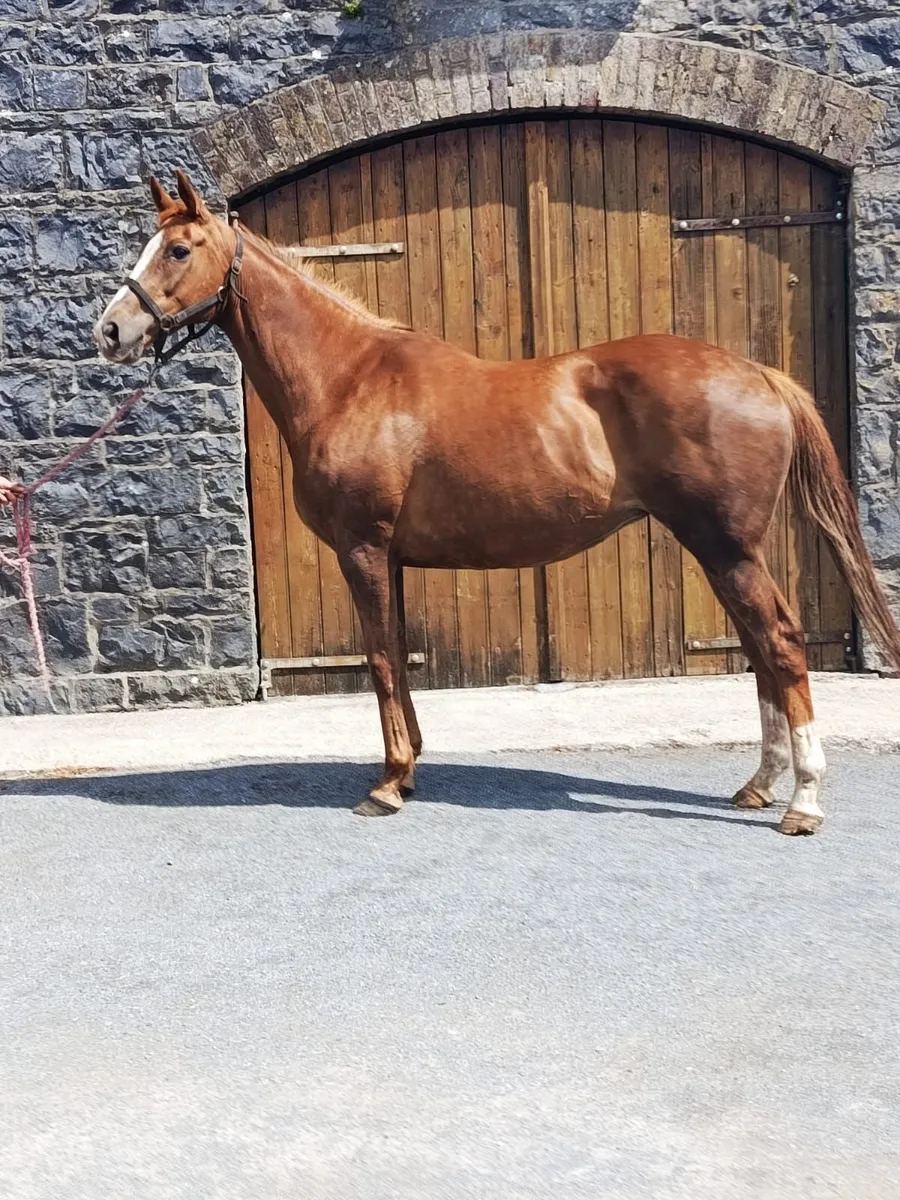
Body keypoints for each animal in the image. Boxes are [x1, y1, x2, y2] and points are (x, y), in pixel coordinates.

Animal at [93, 170, 900, 832]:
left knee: (782, 646)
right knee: (763, 651)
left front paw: (386, 785)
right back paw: (759, 785)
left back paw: (802, 801)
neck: (351, 380)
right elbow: (397, 656)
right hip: (721, 550)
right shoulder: (392, 559)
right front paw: (407, 771)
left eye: (178, 249)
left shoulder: (363, 549)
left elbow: (379, 659)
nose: (110, 331)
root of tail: (760, 374)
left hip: (727, 547)